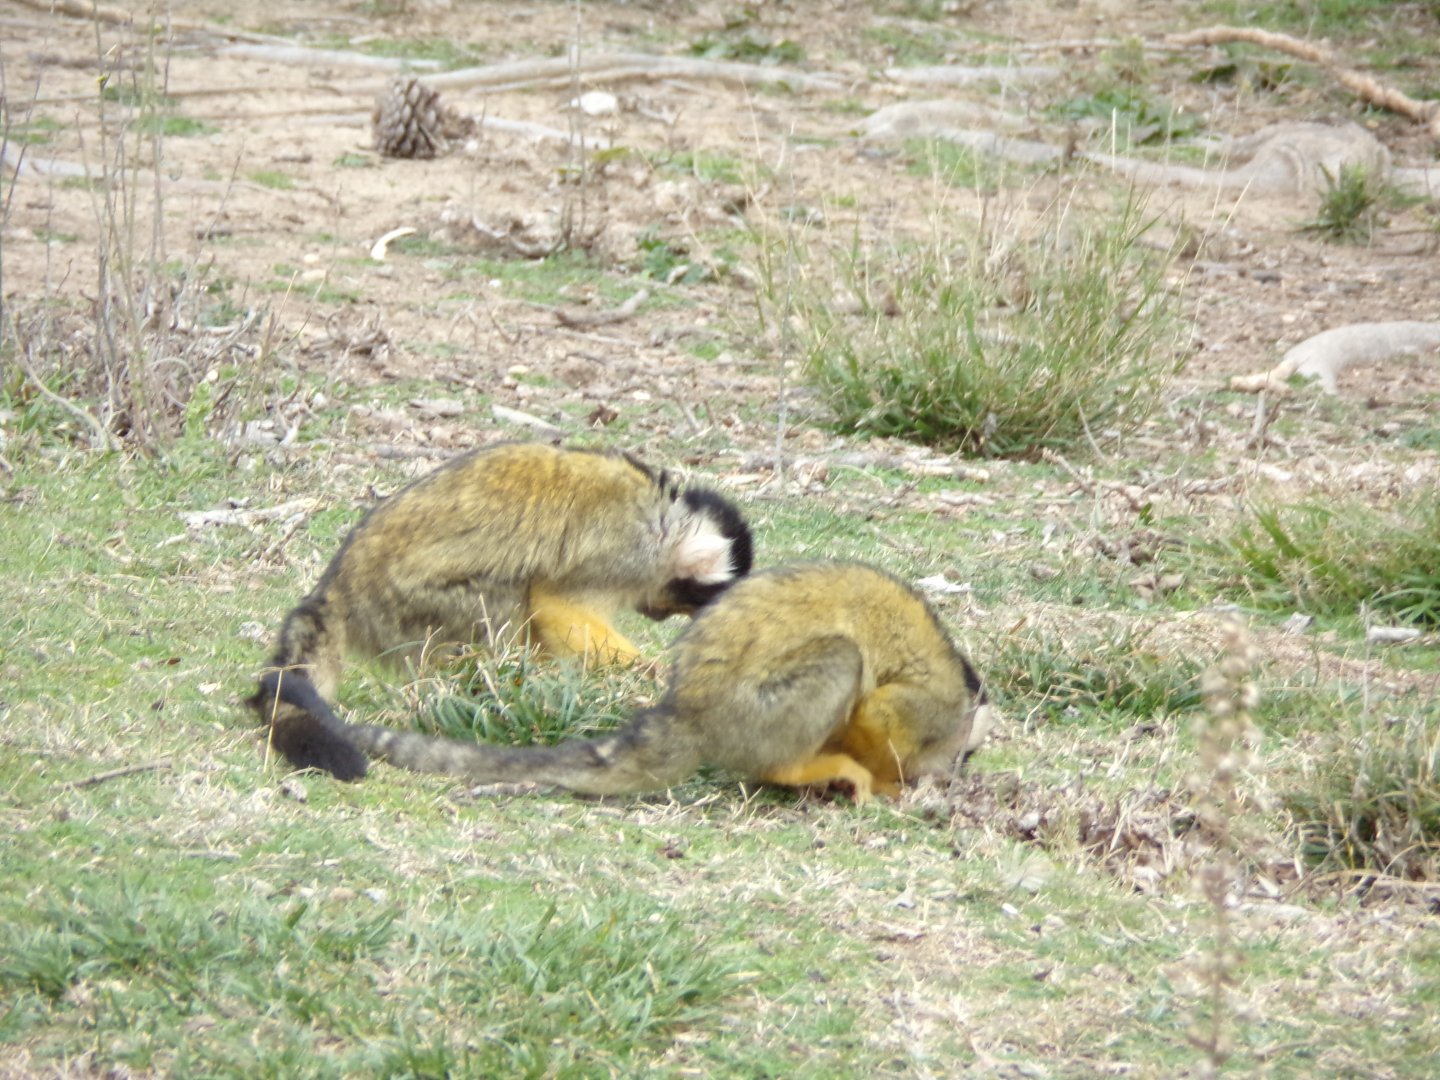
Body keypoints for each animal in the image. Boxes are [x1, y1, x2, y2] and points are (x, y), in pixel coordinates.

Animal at [249, 442, 754, 783]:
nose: (657, 616)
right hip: (403, 606)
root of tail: (338, 586)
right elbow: (558, 601)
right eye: (678, 599)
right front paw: (645, 674)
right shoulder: (626, 550)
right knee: (506, 593)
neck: (665, 520)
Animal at [345, 562, 997, 803]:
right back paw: (797, 767)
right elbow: (883, 715)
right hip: (751, 713)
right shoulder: (929, 706)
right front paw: (887, 780)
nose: (955, 772)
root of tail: (688, 710)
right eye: (965, 754)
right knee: (840, 659)